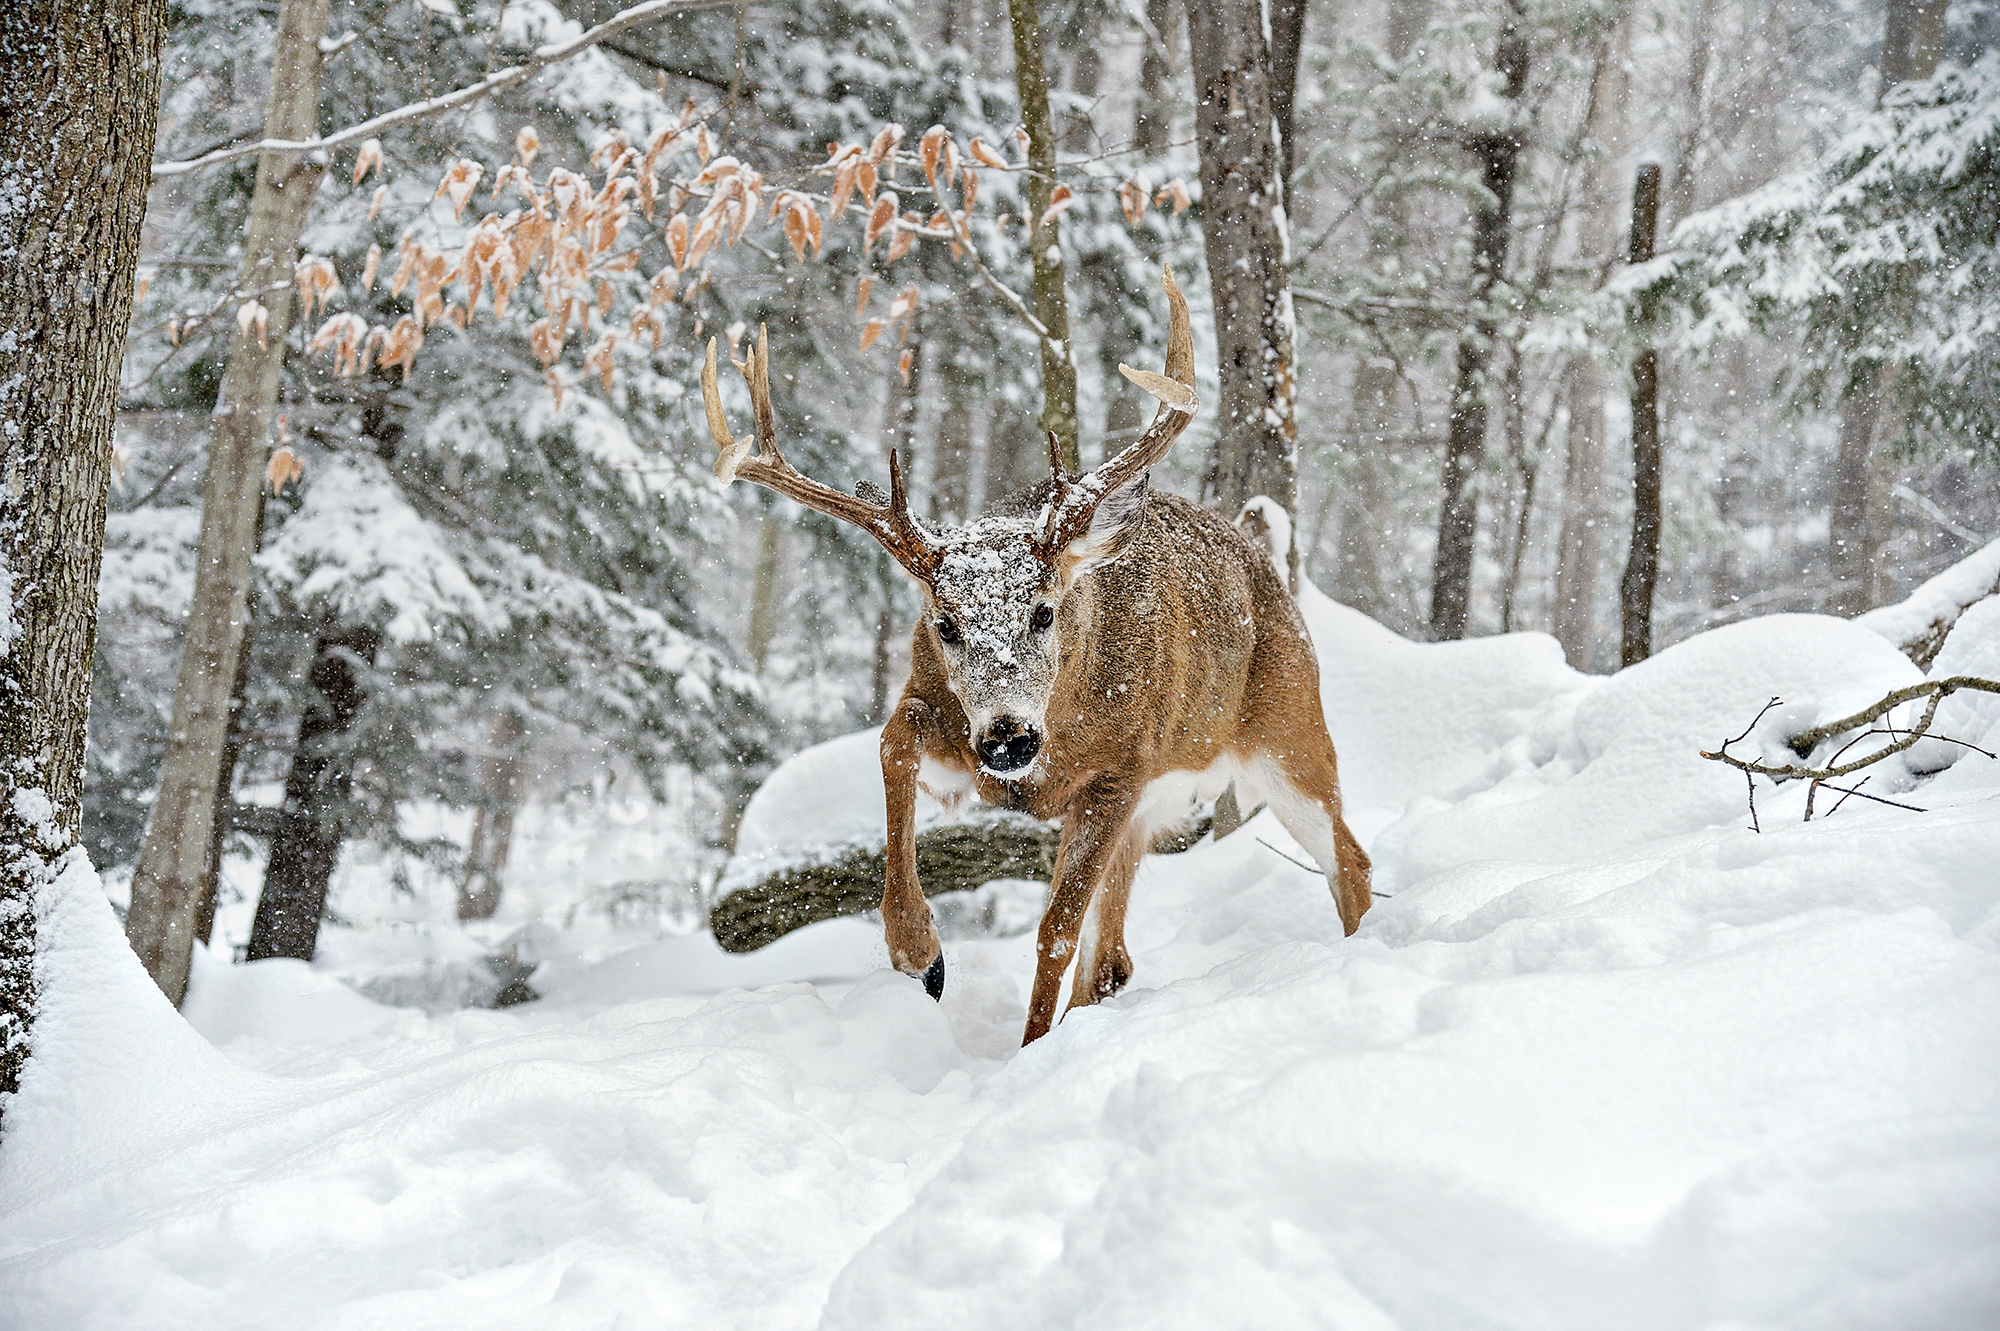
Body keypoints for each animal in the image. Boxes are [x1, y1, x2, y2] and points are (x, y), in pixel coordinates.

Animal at [704, 263, 1376, 1039]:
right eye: (944, 623)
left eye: (1045, 610)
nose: (1008, 736)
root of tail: (1263, 559)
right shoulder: (947, 723)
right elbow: (892, 741)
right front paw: (919, 952)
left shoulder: (1121, 771)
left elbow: (1055, 930)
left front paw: (1026, 1048)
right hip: (1162, 799)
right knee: (1114, 958)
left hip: (1286, 731)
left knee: (1350, 859)